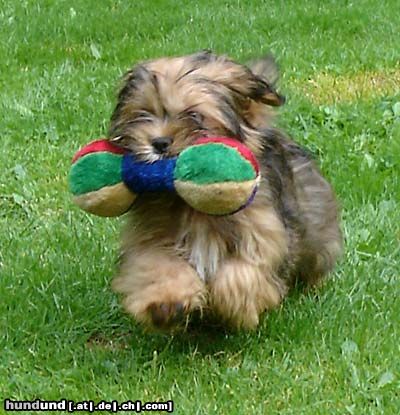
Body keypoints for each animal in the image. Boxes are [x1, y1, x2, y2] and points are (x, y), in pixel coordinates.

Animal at [110, 51, 344, 332]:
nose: (159, 142)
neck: (189, 204)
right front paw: (166, 303)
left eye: (194, 115)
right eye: (143, 114)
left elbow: (242, 272)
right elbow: (158, 265)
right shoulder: (153, 237)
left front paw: (231, 303)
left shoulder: (264, 234)